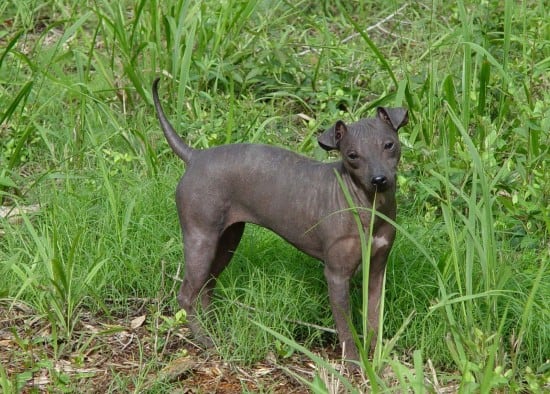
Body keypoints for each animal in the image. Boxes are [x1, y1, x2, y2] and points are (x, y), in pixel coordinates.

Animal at [152, 78, 410, 362]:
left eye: (388, 145)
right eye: (352, 155)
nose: (379, 179)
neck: (371, 206)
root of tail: (195, 156)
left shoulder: (377, 269)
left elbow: (374, 318)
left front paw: (378, 358)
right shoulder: (336, 275)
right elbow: (346, 327)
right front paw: (354, 363)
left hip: (227, 240)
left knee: (207, 287)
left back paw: (214, 330)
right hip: (201, 239)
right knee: (187, 295)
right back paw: (205, 339)